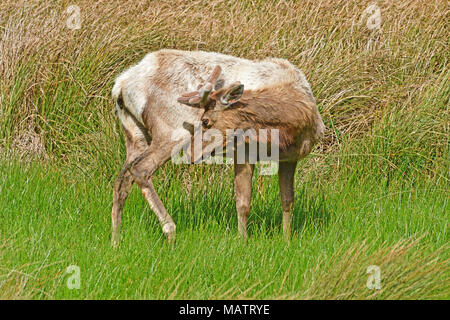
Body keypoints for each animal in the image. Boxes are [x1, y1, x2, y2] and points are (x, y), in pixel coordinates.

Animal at [111, 48, 326, 246]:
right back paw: (170, 231)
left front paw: (287, 240)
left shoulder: (291, 157)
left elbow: (288, 199)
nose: (190, 153)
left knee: (122, 179)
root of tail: (121, 85)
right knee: (140, 169)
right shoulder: (245, 151)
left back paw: (116, 241)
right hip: (170, 130)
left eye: (205, 121)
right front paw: (242, 241)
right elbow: (243, 202)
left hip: (135, 133)